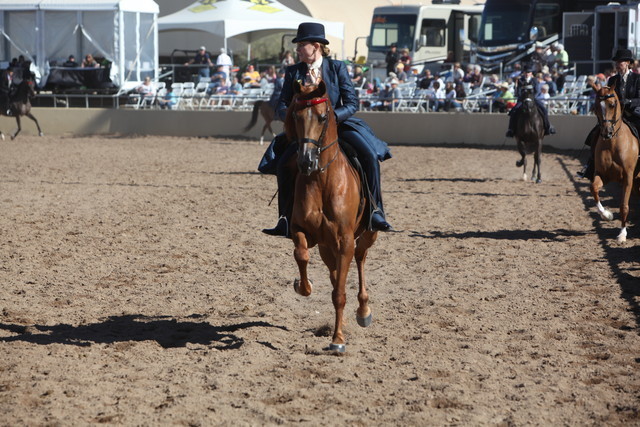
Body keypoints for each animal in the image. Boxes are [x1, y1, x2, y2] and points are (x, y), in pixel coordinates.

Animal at [285, 80, 378, 353]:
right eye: (296, 115)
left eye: (323, 116)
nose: (306, 161)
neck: (322, 180)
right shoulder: (300, 230)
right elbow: (301, 255)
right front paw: (303, 286)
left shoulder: (345, 240)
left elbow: (339, 293)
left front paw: (337, 340)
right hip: (327, 247)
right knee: (335, 273)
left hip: (367, 235)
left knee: (360, 258)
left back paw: (363, 310)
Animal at [590, 83, 640, 243]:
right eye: (595, 106)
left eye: (612, 104)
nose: (607, 133)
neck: (613, 143)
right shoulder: (602, 174)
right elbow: (594, 188)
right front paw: (606, 215)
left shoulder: (628, 178)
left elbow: (624, 206)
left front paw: (622, 234)